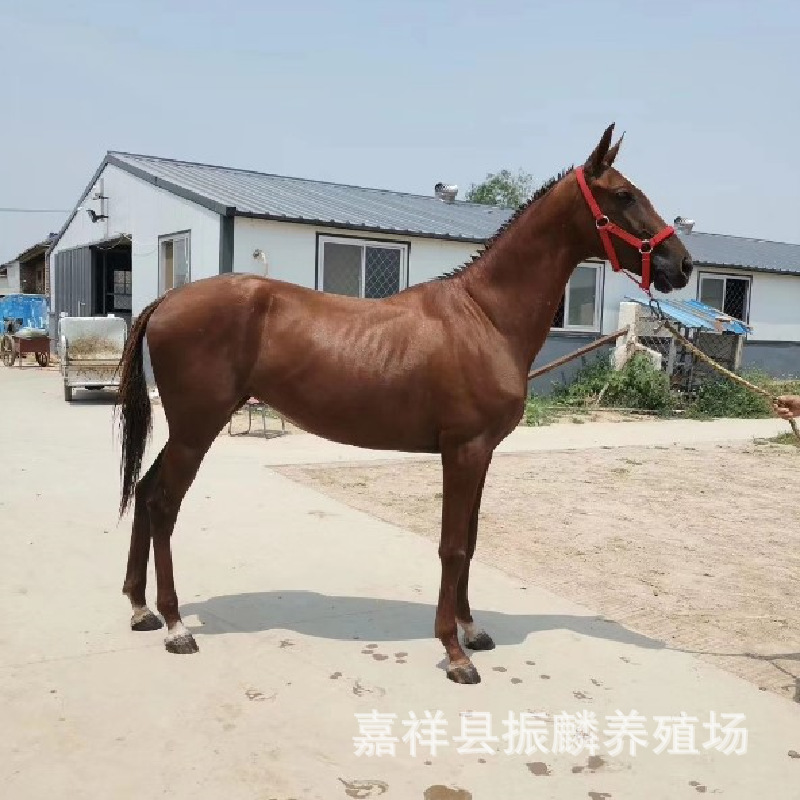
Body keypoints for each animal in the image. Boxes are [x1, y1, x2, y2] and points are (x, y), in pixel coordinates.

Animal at [116, 123, 692, 684]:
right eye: (624, 195)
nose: (682, 264)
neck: (485, 317)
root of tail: (168, 299)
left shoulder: (482, 454)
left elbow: (471, 541)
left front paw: (473, 630)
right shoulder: (463, 451)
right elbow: (452, 546)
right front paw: (455, 654)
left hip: (188, 429)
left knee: (145, 491)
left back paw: (141, 610)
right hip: (197, 428)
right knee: (164, 503)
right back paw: (175, 625)